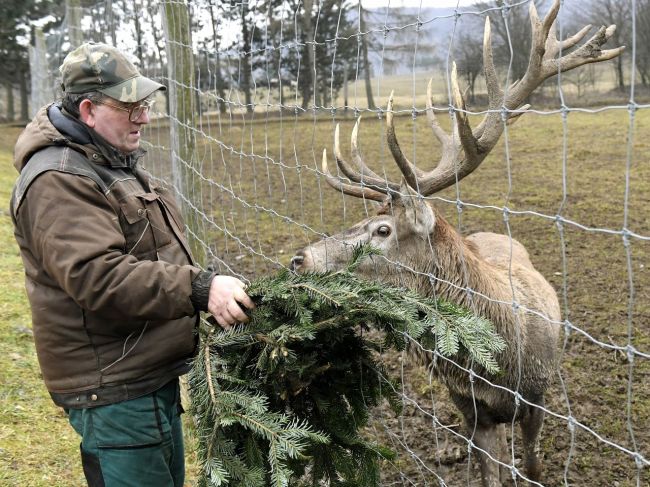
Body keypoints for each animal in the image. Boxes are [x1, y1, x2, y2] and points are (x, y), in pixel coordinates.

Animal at [290, 1, 624, 486]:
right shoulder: (470, 407)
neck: (501, 367)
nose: (299, 259)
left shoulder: (539, 394)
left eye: (382, 230)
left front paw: (532, 470)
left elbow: (534, 461)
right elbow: (489, 472)